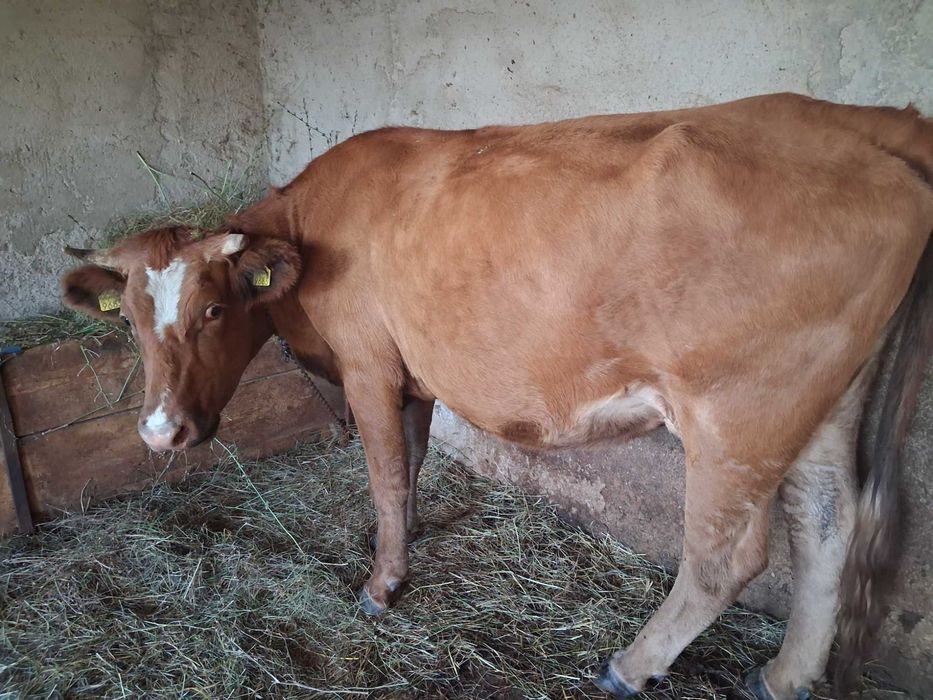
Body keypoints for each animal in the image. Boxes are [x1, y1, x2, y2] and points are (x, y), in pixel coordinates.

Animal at [60, 93, 932, 699]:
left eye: (212, 309)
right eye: (129, 318)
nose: (160, 433)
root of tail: (866, 123)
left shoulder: (368, 364)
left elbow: (383, 473)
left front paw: (380, 587)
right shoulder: (410, 376)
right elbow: (409, 465)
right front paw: (403, 545)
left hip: (738, 413)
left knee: (728, 555)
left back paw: (630, 664)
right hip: (823, 400)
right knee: (826, 523)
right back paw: (782, 675)